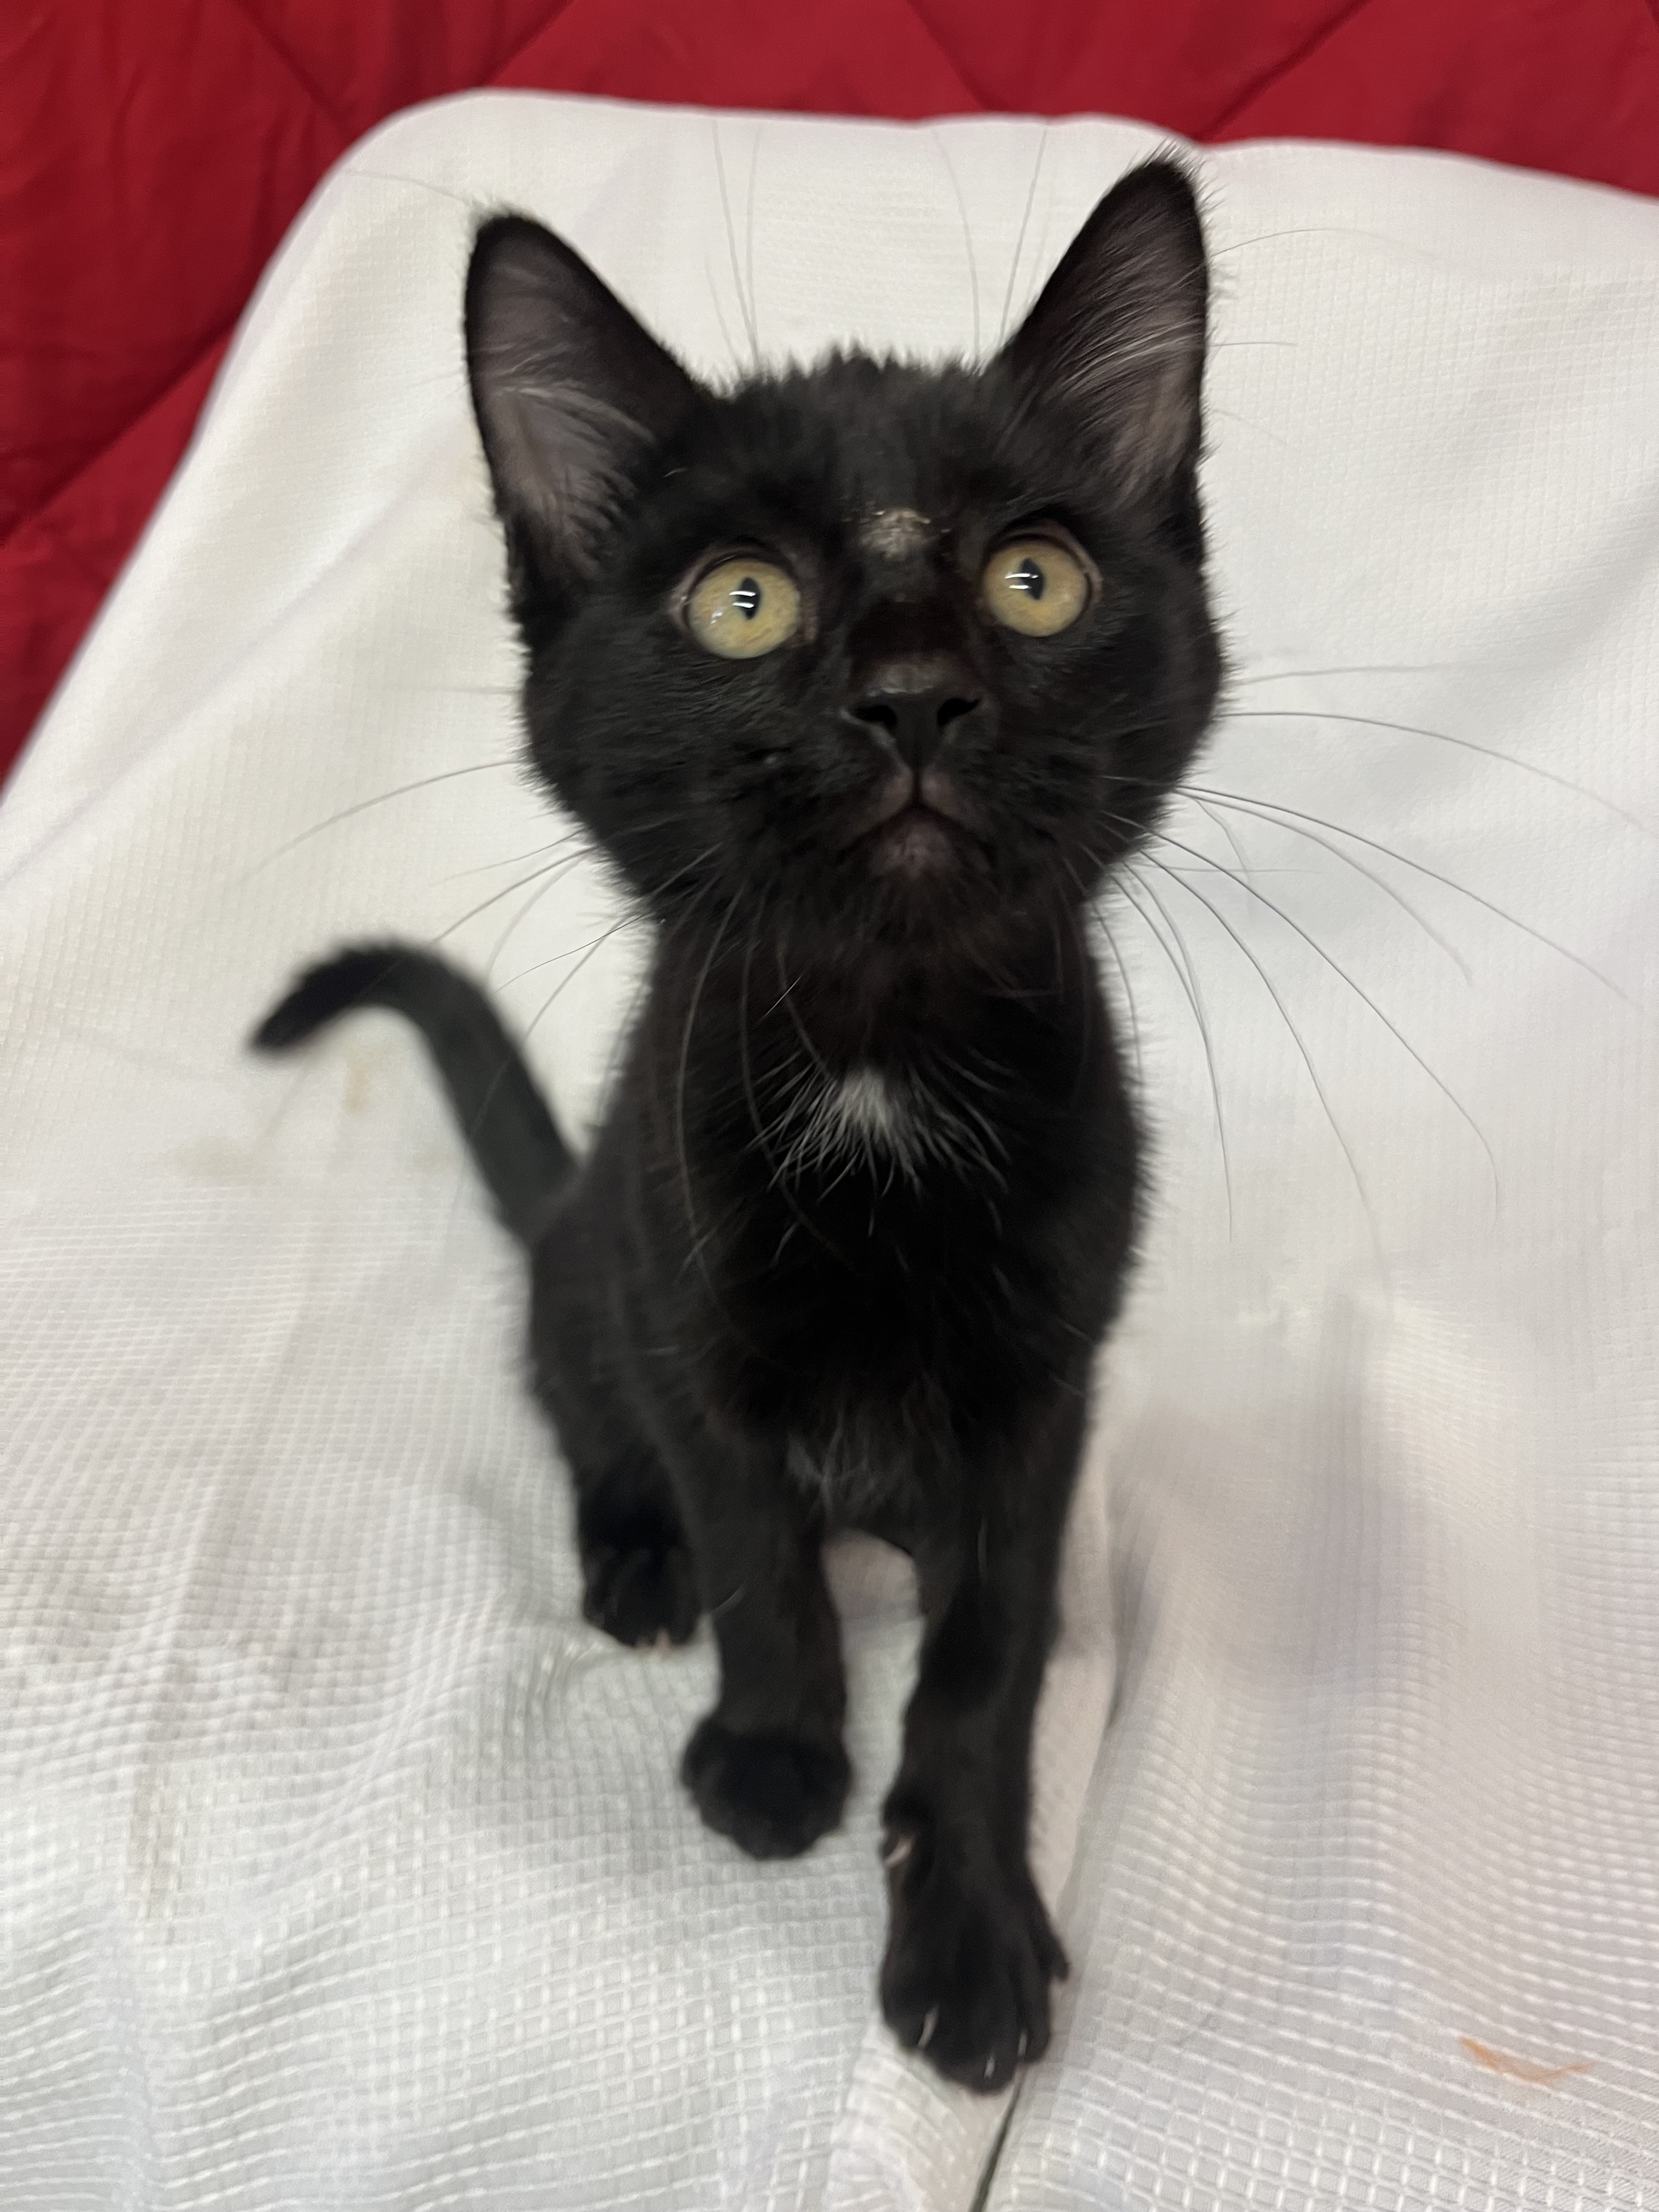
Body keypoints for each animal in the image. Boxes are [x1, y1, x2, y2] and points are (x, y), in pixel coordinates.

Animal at [256, 168, 1221, 2088]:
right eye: (745, 604)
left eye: (1036, 579)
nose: (914, 692)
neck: (881, 1060)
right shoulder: (688, 1317)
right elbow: (762, 1553)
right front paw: (779, 1758)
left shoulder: (1046, 1380)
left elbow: (991, 1652)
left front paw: (969, 1930)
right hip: (587, 1268)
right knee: (591, 1429)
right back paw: (637, 1565)